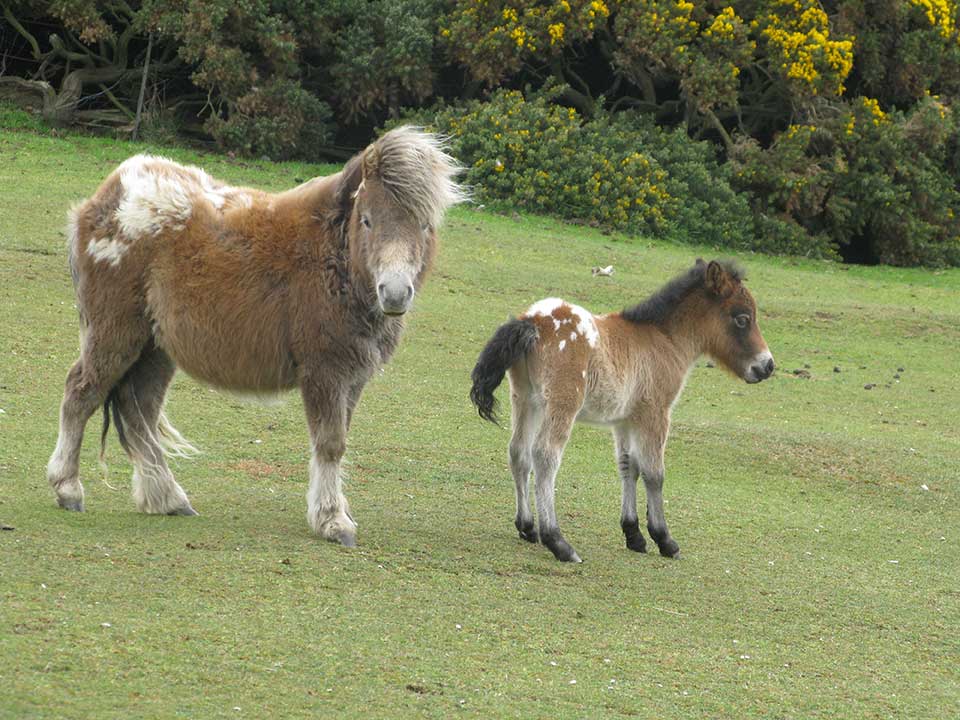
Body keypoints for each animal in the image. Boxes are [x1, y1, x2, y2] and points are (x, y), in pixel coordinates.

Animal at [48, 125, 464, 544]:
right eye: (366, 220)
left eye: (425, 225)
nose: (394, 293)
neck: (333, 259)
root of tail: (107, 197)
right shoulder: (325, 372)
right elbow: (330, 443)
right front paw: (332, 521)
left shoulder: (353, 377)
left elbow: (339, 440)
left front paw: (336, 512)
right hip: (115, 335)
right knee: (81, 391)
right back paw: (68, 488)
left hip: (155, 349)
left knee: (139, 409)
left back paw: (167, 498)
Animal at [468, 258, 776, 564]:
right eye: (742, 318)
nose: (767, 366)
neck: (664, 340)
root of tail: (532, 320)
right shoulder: (656, 413)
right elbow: (654, 473)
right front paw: (664, 539)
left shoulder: (626, 419)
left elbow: (629, 465)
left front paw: (634, 535)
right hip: (562, 403)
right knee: (545, 456)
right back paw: (558, 541)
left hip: (525, 399)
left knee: (518, 452)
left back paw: (527, 527)